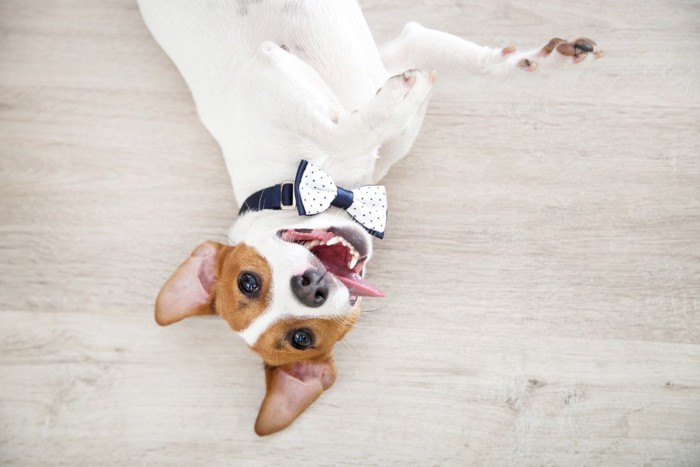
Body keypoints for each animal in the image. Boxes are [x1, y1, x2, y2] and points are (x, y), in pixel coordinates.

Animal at [139, 0, 604, 438]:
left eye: (247, 282)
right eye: (301, 338)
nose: (309, 288)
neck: (297, 183)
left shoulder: (392, 51)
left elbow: (480, 63)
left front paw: (541, 61)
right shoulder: (267, 70)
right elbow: (347, 130)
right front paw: (401, 98)